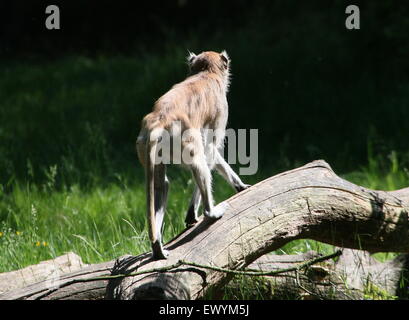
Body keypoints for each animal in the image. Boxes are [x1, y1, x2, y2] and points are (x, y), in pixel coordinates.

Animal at [136, 50, 249, 260]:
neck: (207, 73)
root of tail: (158, 121)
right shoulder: (221, 108)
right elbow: (211, 150)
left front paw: (241, 186)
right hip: (182, 139)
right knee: (200, 163)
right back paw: (211, 212)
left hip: (144, 144)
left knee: (161, 185)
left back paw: (157, 247)